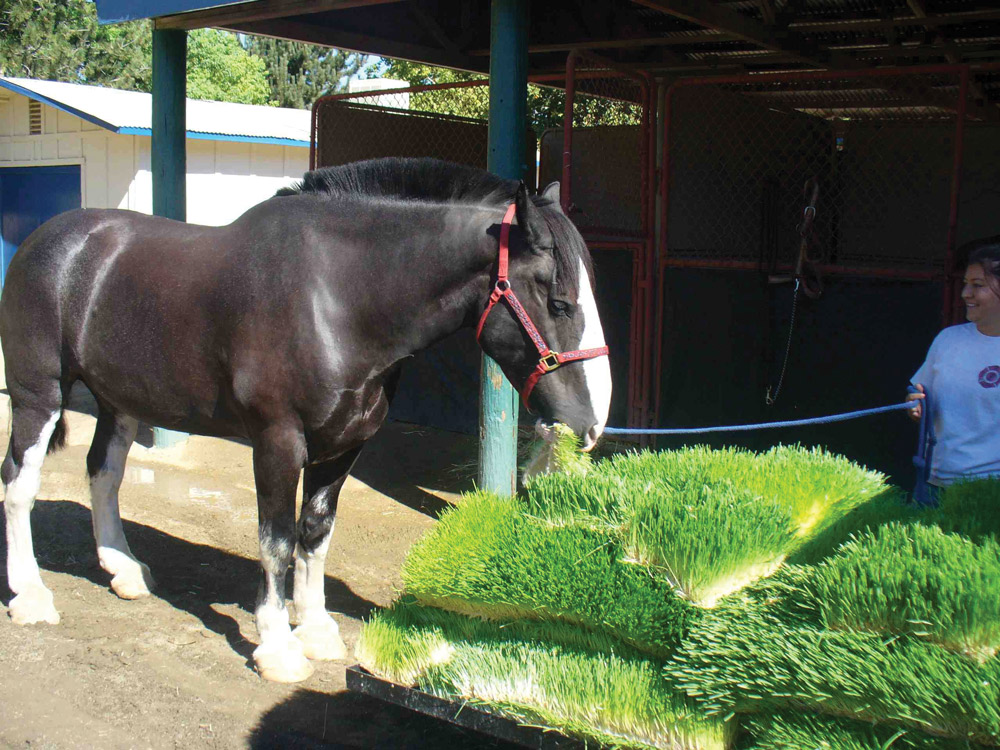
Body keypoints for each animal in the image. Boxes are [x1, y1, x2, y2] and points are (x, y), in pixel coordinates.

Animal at [0, 157, 612, 682]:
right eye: (559, 301)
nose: (591, 426)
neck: (336, 295)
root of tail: (52, 239)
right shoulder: (278, 442)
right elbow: (275, 541)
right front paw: (277, 648)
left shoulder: (344, 444)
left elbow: (314, 533)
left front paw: (316, 630)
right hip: (39, 395)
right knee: (20, 485)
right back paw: (30, 595)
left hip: (120, 401)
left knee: (103, 473)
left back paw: (123, 569)